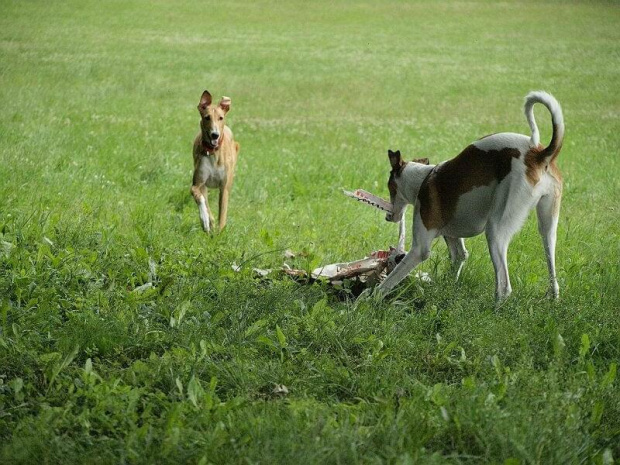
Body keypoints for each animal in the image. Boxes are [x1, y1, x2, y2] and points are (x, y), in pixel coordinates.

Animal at [190, 89, 239, 232]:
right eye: (207, 117)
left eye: (220, 118)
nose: (215, 135)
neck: (213, 153)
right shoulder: (198, 184)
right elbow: (200, 199)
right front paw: (205, 220)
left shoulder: (224, 188)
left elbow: (222, 216)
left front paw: (219, 233)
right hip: (204, 186)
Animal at [380, 91, 564, 300]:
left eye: (389, 186)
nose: (388, 216)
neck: (423, 179)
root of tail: (539, 154)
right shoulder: (453, 239)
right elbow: (458, 260)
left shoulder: (420, 249)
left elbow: (386, 284)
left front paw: (366, 300)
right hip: (548, 227)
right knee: (552, 272)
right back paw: (553, 299)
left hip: (496, 230)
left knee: (504, 286)